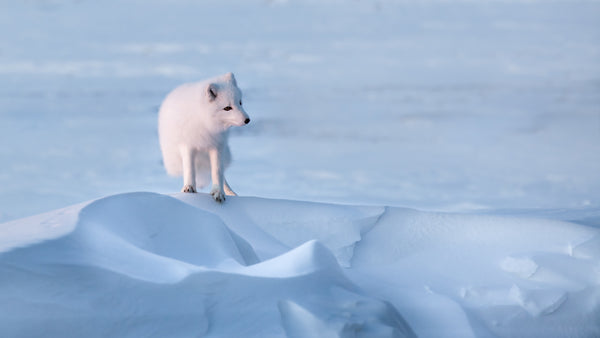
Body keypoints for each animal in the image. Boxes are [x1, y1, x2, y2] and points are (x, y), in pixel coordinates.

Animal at [158, 72, 250, 202]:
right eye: (227, 108)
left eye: (240, 102)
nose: (247, 120)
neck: (204, 123)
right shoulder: (187, 145)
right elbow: (189, 169)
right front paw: (189, 188)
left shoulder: (217, 146)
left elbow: (217, 171)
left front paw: (218, 192)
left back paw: (230, 192)